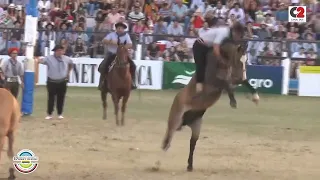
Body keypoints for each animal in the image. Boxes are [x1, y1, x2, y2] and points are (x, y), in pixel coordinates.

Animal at [161, 41, 258, 172]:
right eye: (238, 60)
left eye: (246, 60)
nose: (242, 75)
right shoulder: (215, 84)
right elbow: (226, 84)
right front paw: (233, 101)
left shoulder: (232, 79)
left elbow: (241, 83)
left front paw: (255, 97)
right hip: (175, 119)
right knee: (169, 135)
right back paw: (162, 151)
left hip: (196, 125)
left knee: (192, 143)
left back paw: (190, 165)